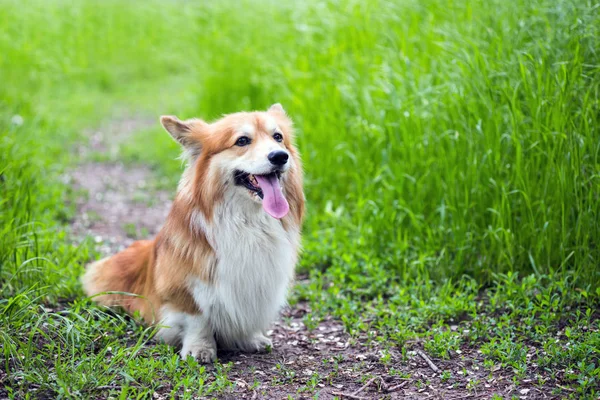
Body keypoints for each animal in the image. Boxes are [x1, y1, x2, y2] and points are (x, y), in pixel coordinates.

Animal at [81, 104, 304, 362]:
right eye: (242, 140)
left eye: (278, 137)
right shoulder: (185, 288)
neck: (248, 221)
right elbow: (197, 319)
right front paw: (200, 348)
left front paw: (250, 339)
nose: (280, 156)